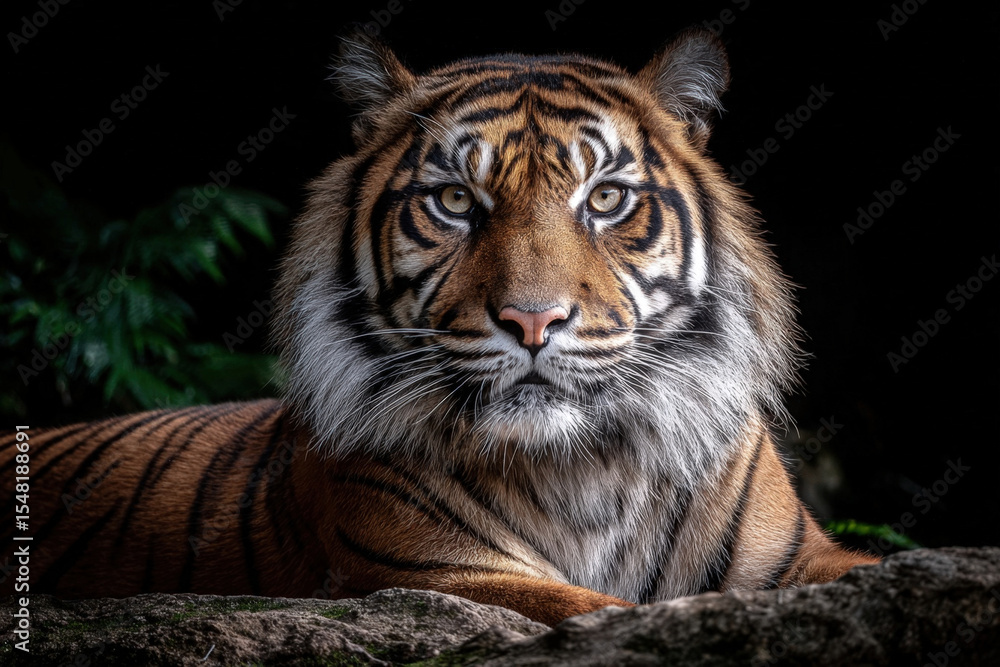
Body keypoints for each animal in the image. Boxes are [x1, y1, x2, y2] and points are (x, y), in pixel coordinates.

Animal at [0, 28, 877, 627]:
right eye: (455, 200)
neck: (582, 468)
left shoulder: (805, 556)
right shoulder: (429, 572)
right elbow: (596, 606)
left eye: (603, 198)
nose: (533, 319)